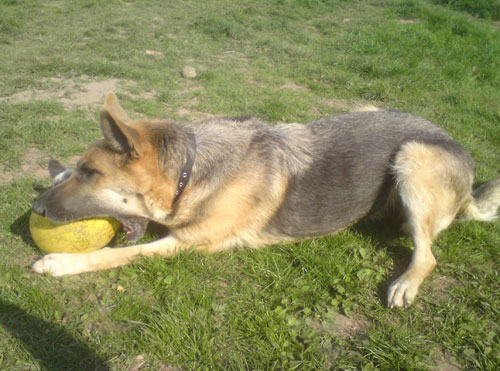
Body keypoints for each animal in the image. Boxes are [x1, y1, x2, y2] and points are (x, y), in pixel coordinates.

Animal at [32, 92, 500, 308]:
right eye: (80, 169)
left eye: (92, 173)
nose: (35, 210)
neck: (189, 171)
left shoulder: (188, 244)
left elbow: (121, 255)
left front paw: (63, 262)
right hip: (372, 113)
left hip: (413, 157)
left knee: (428, 255)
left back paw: (406, 282)